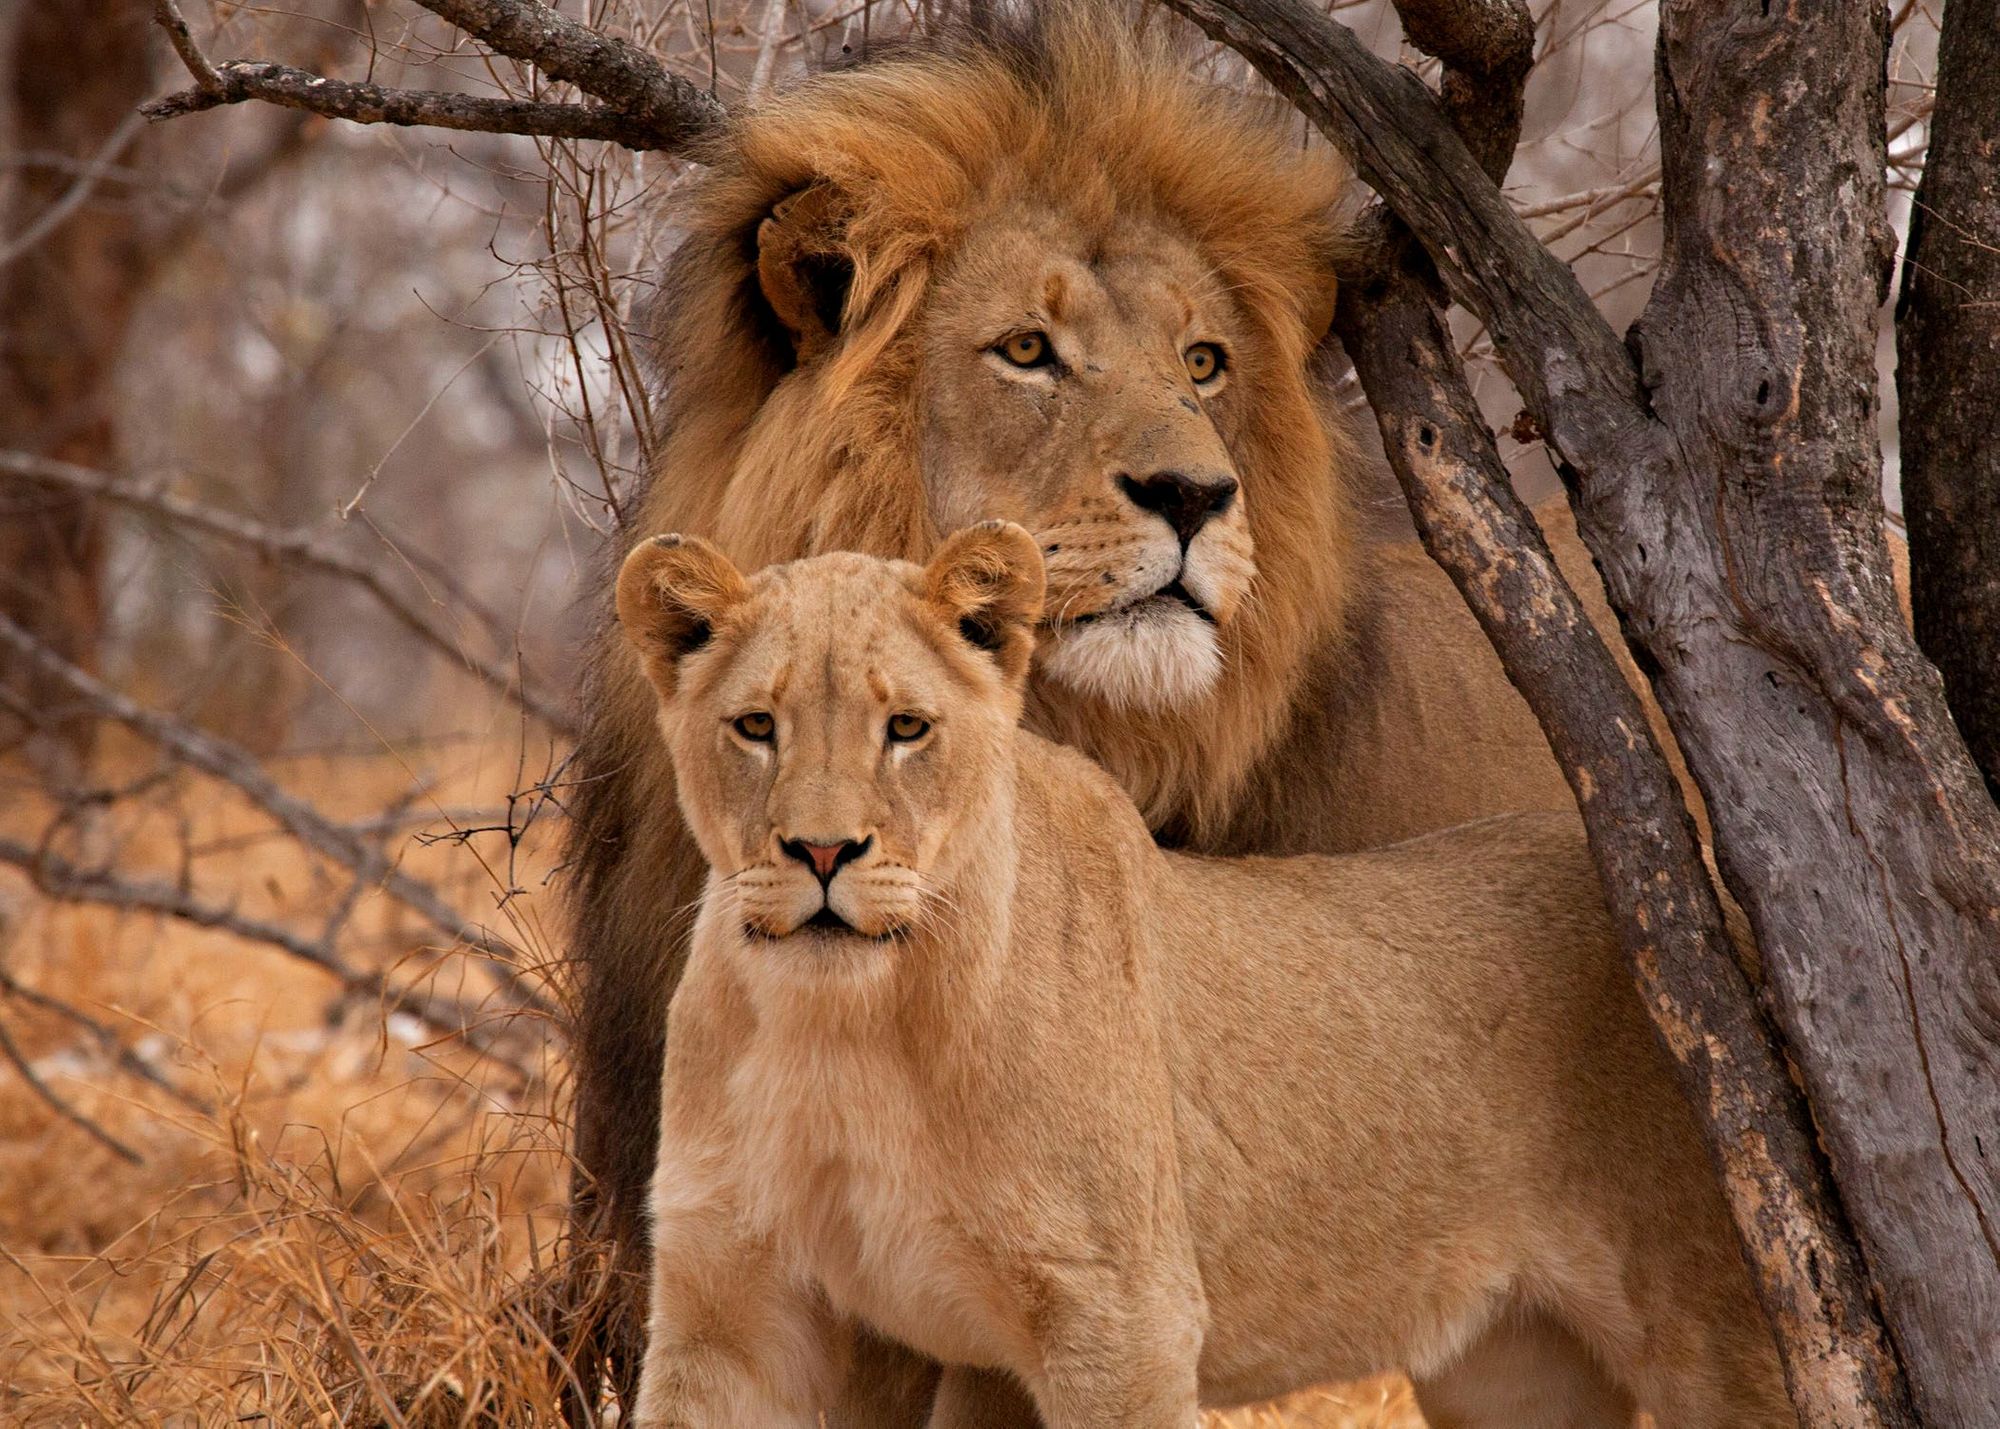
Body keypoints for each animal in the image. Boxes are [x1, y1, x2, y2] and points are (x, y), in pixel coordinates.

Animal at [612, 528, 1800, 1424]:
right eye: (754, 727)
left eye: (906, 726)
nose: (821, 852)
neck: (838, 1026)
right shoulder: (730, 1305)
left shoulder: (1121, 1316)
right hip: (1515, 1367)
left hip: (1731, 1329)